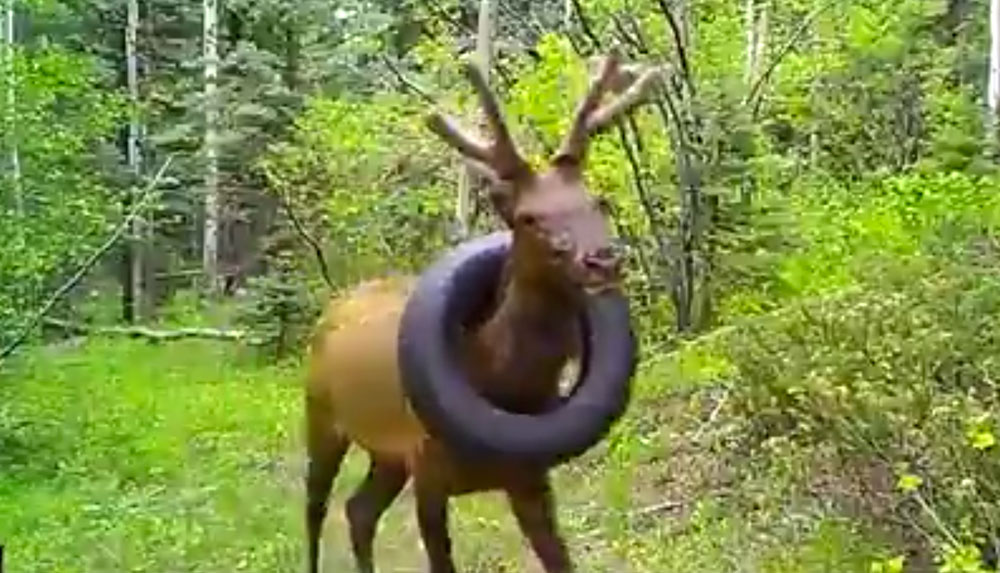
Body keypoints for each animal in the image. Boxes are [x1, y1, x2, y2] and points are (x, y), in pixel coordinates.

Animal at [304, 49, 663, 573]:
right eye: (528, 217)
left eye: (598, 200)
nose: (603, 260)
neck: (498, 379)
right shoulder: (429, 474)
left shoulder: (530, 479)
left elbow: (561, 560)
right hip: (321, 415)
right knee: (316, 508)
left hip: (388, 457)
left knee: (358, 510)